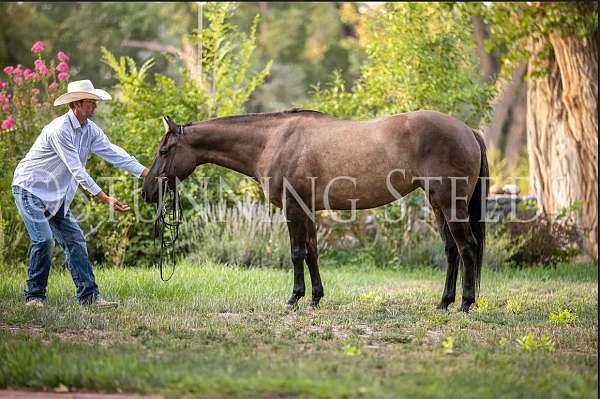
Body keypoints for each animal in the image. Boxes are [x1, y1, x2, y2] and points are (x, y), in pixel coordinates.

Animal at [143, 108, 490, 312]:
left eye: (164, 150)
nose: (147, 191)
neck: (274, 140)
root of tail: (470, 131)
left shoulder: (294, 208)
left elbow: (297, 252)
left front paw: (294, 298)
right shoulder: (307, 210)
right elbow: (311, 251)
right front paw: (315, 297)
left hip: (451, 204)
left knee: (467, 247)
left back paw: (465, 304)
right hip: (437, 205)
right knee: (452, 250)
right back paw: (444, 303)